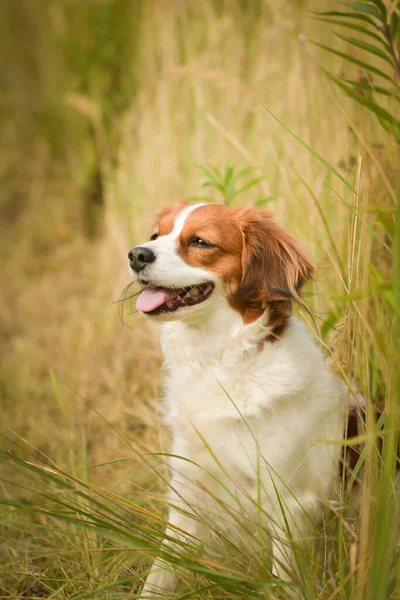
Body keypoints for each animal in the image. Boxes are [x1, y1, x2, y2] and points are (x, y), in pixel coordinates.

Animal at [130, 203, 348, 600]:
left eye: (200, 242)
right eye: (156, 236)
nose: (136, 254)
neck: (218, 360)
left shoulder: (292, 504)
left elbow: (284, 583)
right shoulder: (188, 490)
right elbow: (161, 572)